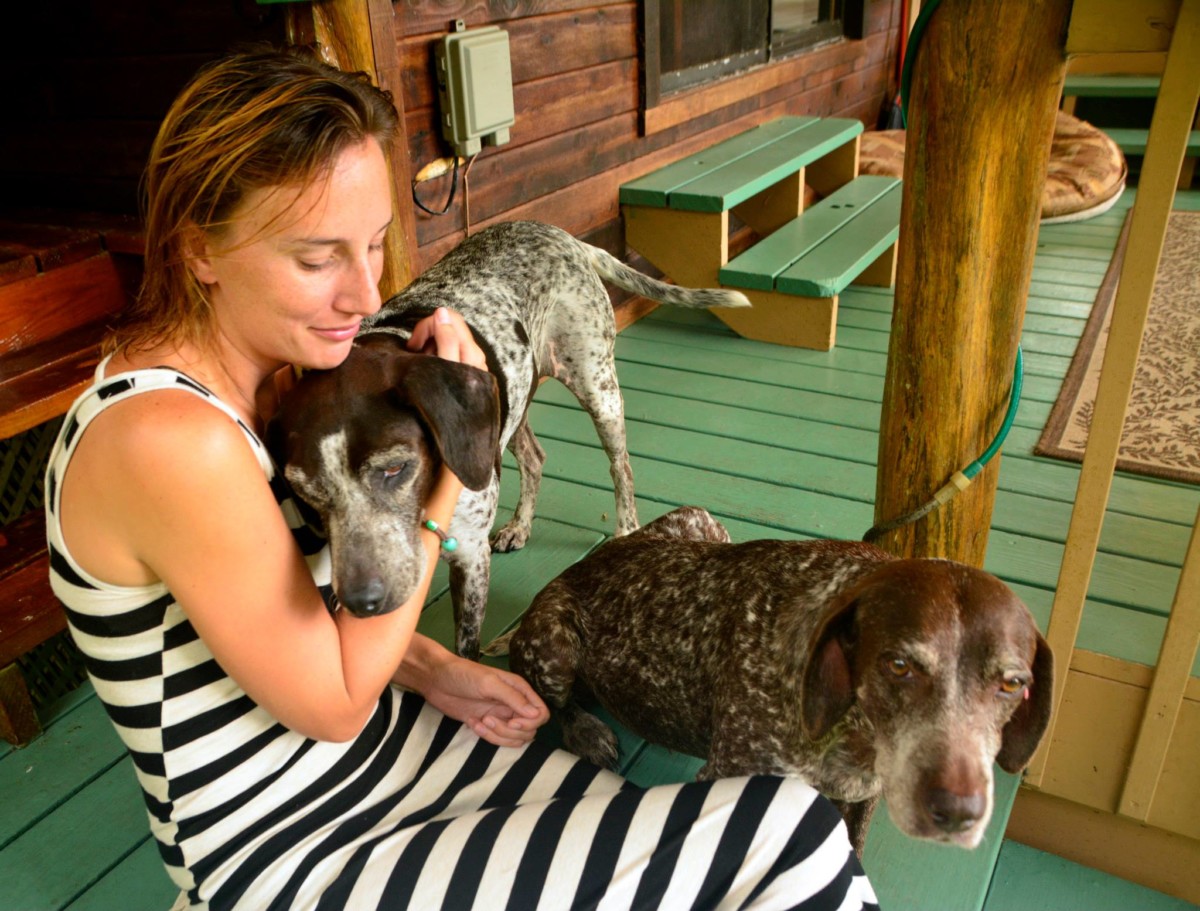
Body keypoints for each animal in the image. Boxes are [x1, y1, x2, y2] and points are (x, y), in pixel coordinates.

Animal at [270, 220, 748, 662]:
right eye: (304, 493)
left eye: (395, 468)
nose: (361, 602)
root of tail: (567, 238)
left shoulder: (469, 555)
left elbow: (466, 650)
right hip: (507, 413)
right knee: (535, 458)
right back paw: (520, 525)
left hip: (598, 389)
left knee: (621, 466)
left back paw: (625, 529)